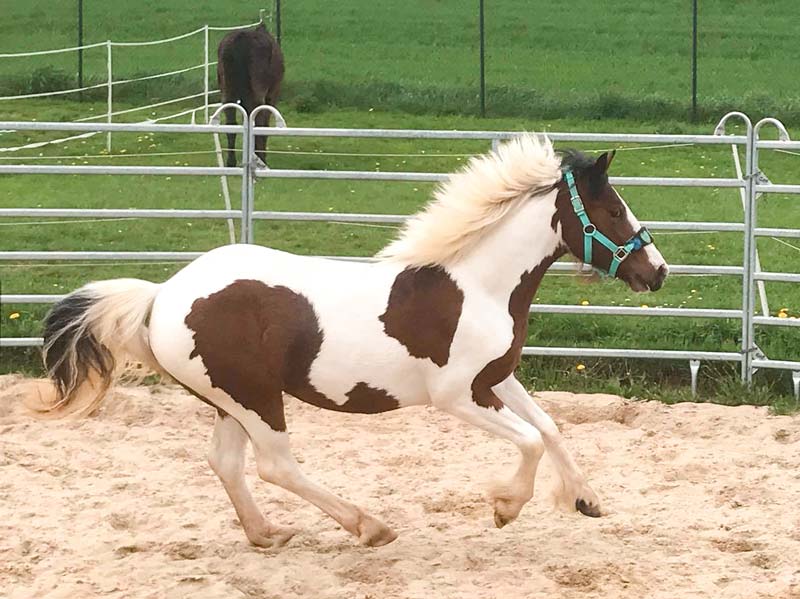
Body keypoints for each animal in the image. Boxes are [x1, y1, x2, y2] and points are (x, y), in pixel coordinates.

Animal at [39, 136, 668, 548]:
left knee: (225, 462)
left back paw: (267, 534)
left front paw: (586, 500)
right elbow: (531, 440)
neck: (477, 285)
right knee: (276, 466)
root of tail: (163, 296)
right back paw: (369, 526)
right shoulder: (457, 397)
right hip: (255, 398)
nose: (658, 272)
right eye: (614, 210)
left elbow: (550, 427)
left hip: (229, 400)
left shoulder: (496, 378)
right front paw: (505, 509)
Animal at [216, 23, 284, 168]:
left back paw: (231, 162)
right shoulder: (271, 95)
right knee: (259, 122)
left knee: (231, 123)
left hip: (228, 92)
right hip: (259, 95)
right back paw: (261, 159)